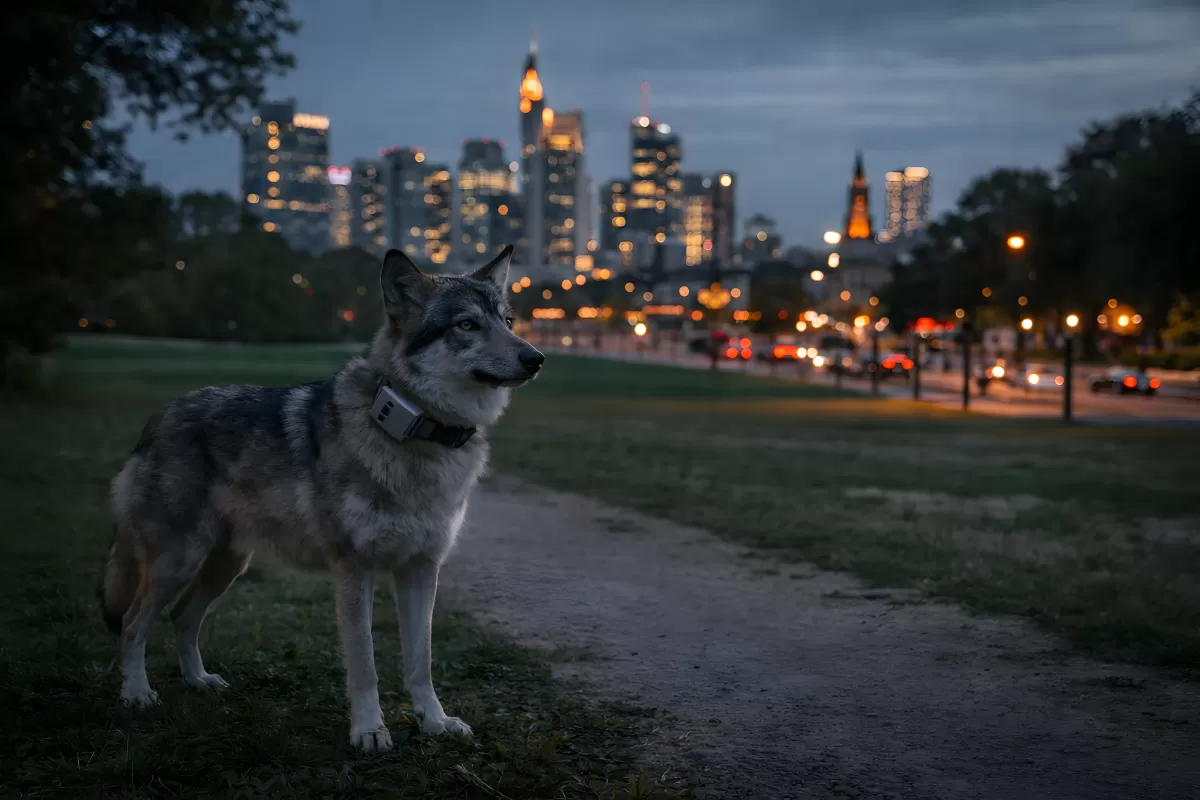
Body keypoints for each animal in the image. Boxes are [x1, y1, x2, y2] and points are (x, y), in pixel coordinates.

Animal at [100, 245, 542, 753]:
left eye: (508, 320)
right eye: (467, 324)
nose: (536, 357)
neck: (416, 431)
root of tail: (156, 420)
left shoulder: (421, 569)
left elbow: (421, 661)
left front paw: (434, 722)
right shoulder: (354, 569)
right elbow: (365, 664)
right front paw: (369, 731)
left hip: (227, 566)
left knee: (181, 618)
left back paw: (199, 682)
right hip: (179, 561)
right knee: (134, 622)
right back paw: (136, 695)